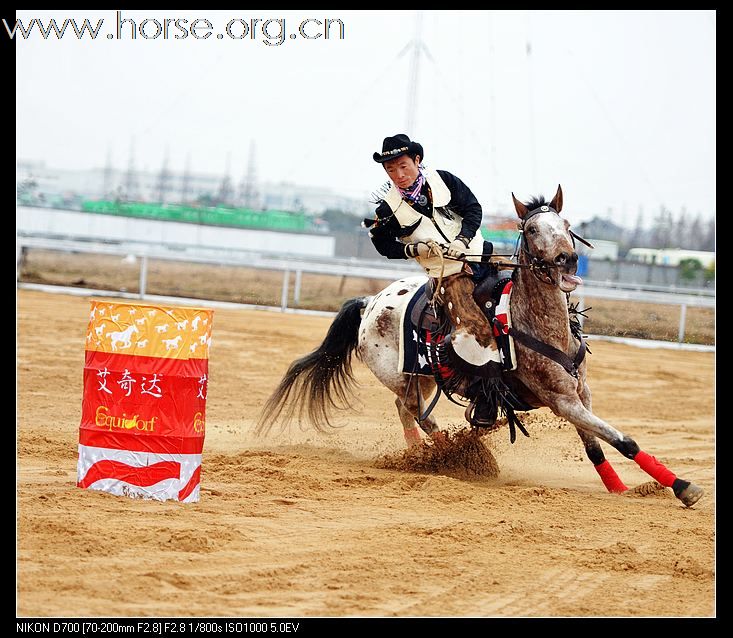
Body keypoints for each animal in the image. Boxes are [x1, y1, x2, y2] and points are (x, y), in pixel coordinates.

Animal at [258, 186, 704, 510]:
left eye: (566, 223)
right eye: (531, 230)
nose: (567, 259)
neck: (538, 325)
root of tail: (370, 302)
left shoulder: (581, 394)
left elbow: (596, 445)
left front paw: (621, 490)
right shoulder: (562, 401)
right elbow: (622, 440)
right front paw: (683, 486)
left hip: (420, 377)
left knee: (408, 412)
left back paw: (427, 456)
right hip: (399, 376)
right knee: (414, 413)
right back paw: (444, 458)